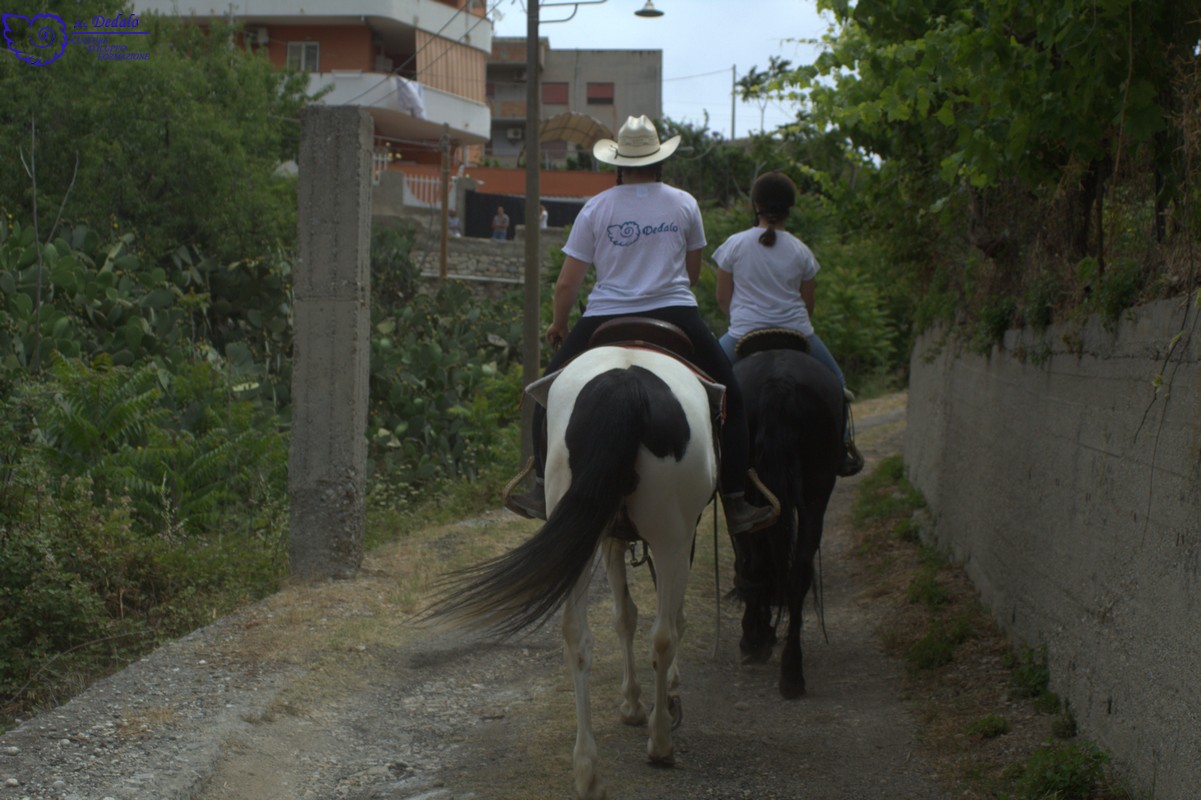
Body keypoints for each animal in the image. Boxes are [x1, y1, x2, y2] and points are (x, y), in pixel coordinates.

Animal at [427, 343, 715, 797]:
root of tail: (626, 385)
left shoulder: (609, 534)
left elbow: (623, 616)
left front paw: (633, 702)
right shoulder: (684, 534)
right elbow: (663, 620)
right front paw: (655, 700)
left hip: (580, 533)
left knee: (578, 637)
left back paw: (587, 770)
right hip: (670, 535)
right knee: (664, 634)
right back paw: (659, 743)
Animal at [725, 345, 840, 696]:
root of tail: (779, 384)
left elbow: (749, 562)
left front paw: (756, 635)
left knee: (759, 564)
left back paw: (758, 644)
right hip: (817, 490)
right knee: (798, 572)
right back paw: (791, 674)